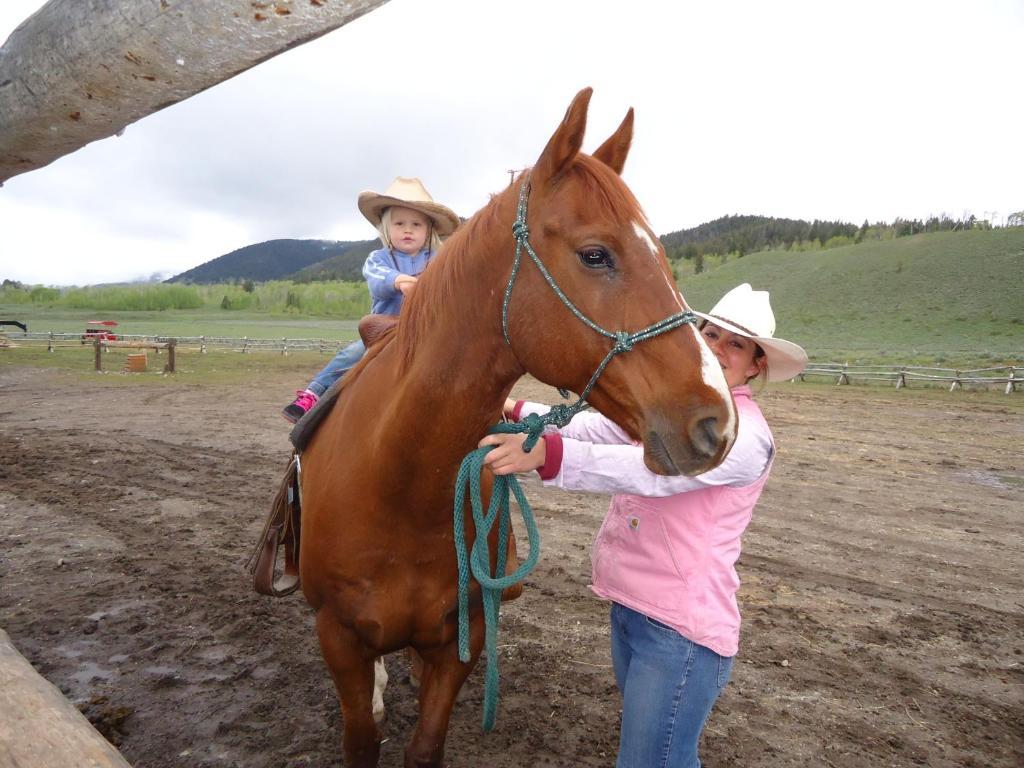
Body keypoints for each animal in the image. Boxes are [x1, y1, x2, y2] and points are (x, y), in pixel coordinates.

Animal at [294, 87, 737, 765]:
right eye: (596, 254)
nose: (717, 422)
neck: (401, 482)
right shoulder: (339, 638)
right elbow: (361, 737)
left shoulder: (462, 639)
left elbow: (425, 744)